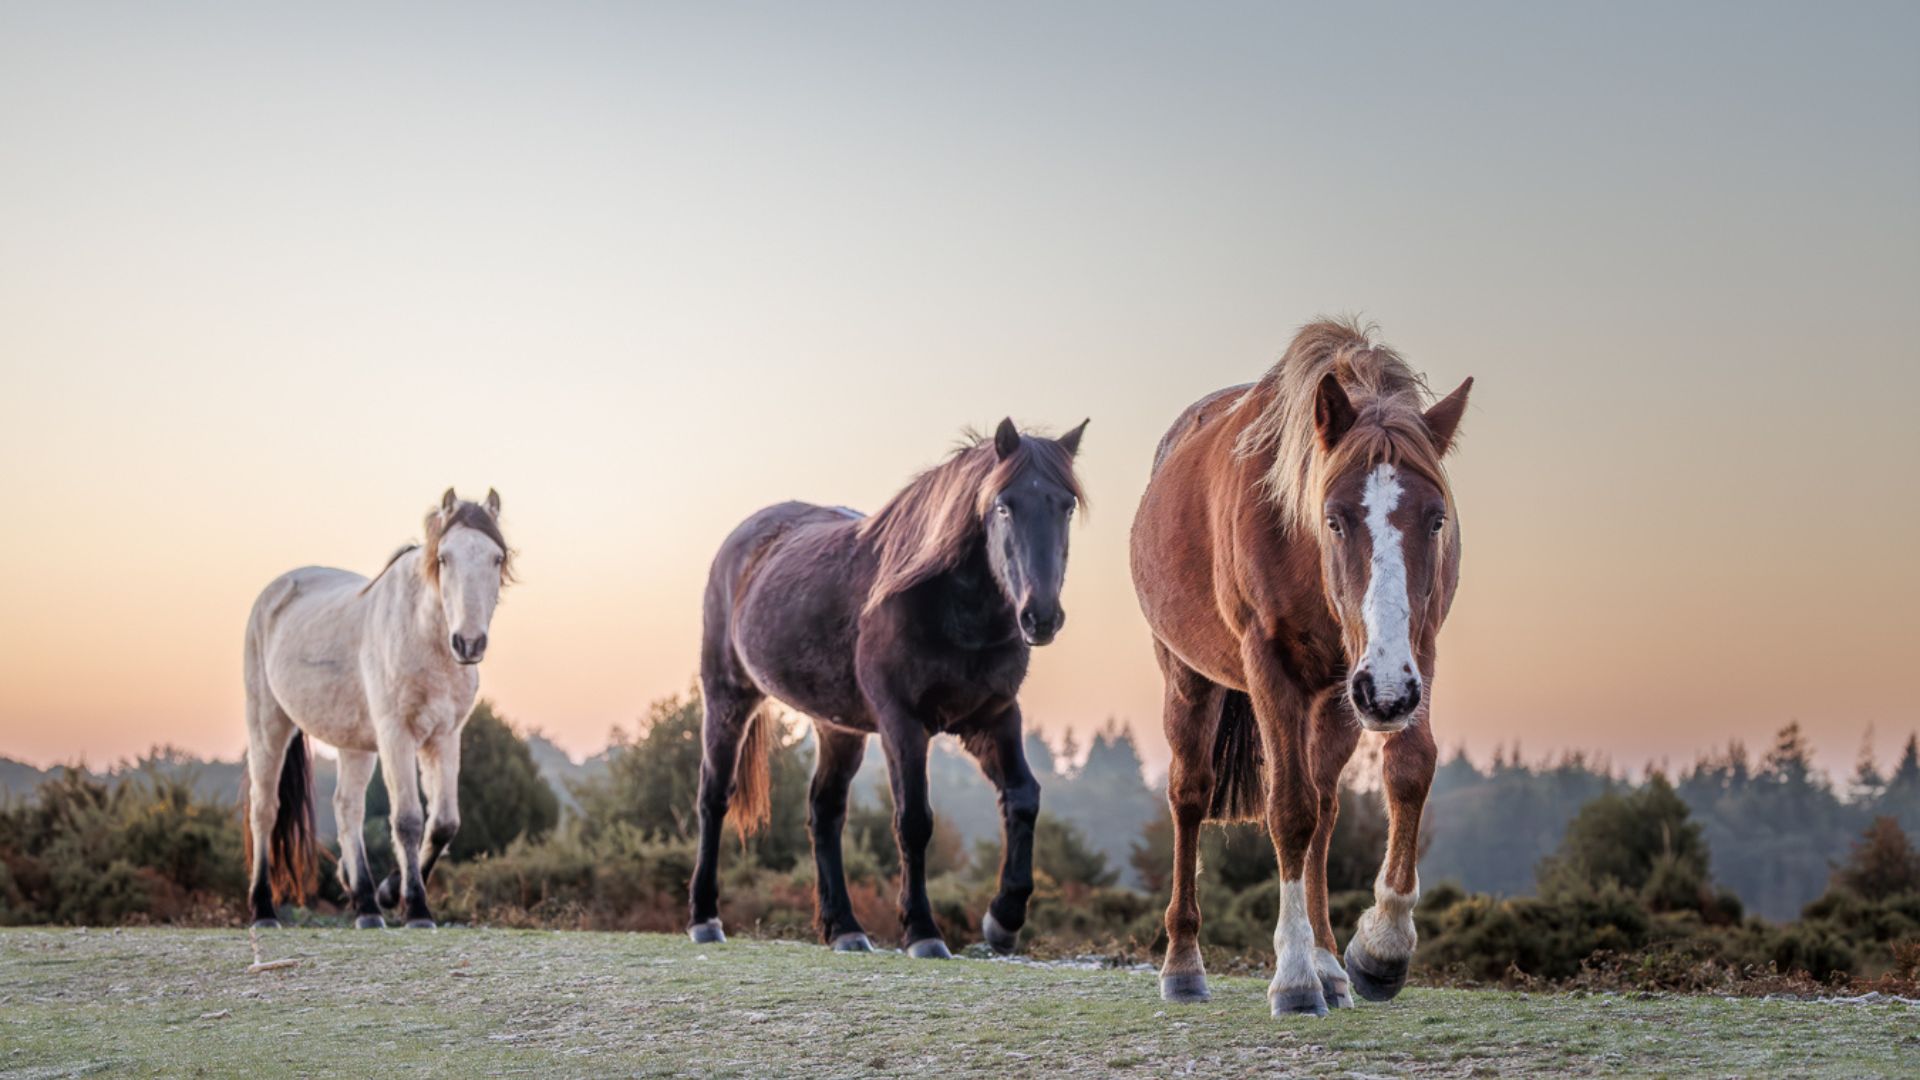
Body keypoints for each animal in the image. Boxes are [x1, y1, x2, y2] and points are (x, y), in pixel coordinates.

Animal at [240, 488, 514, 929]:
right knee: (265, 811)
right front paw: (416, 908)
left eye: (497, 558)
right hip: (267, 726)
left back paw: (367, 904)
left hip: (353, 743)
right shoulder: (396, 735)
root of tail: (274, 593)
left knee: (347, 808)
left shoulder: (445, 737)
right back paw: (264, 910)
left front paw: (389, 893)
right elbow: (408, 820)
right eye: (444, 558)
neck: (425, 636)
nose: (469, 642)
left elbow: (443, 824)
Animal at [690, 418, 1088, 958]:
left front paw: (1003, 919)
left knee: (825, 812)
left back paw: (844, 928)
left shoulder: (995, 716)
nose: (1040, 617)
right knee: (714, 798)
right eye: (1003, 505)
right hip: (728, 699)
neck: (950, 606)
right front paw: (923, 931)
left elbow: (1023, 797)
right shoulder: (903, 722)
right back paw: (704, 918)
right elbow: (914, 821)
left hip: (837, 728)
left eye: (1065, 505)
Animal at [1130, 319, 1472, 1016]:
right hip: (1191, 679)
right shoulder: (1272, 667)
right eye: (1333, 519)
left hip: (1339, 696)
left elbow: (1408, 771)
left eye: (1437, 520)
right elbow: (1287, 810)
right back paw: (1184, 965)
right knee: (1190, 795)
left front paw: (1379, 948)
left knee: (1327, 805)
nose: (1386, 694)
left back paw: (1330, 964)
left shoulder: (1412, 653)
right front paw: (1291, 978)